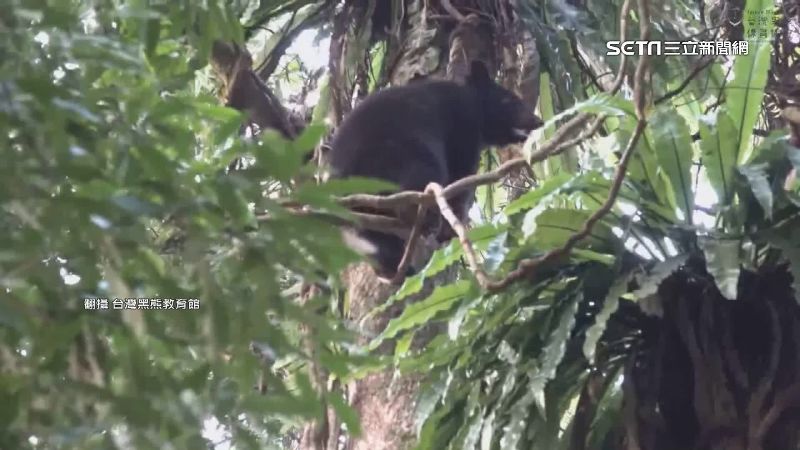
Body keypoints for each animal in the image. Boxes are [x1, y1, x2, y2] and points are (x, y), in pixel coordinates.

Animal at [328, 60, 543, 281]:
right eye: (510, 100)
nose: (538, 121)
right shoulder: (463, 127)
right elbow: (461, 172)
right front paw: (452, 224)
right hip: (398, 151)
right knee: (423, 173)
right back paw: (422, 217)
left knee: (376, 235)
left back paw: (390, 266)